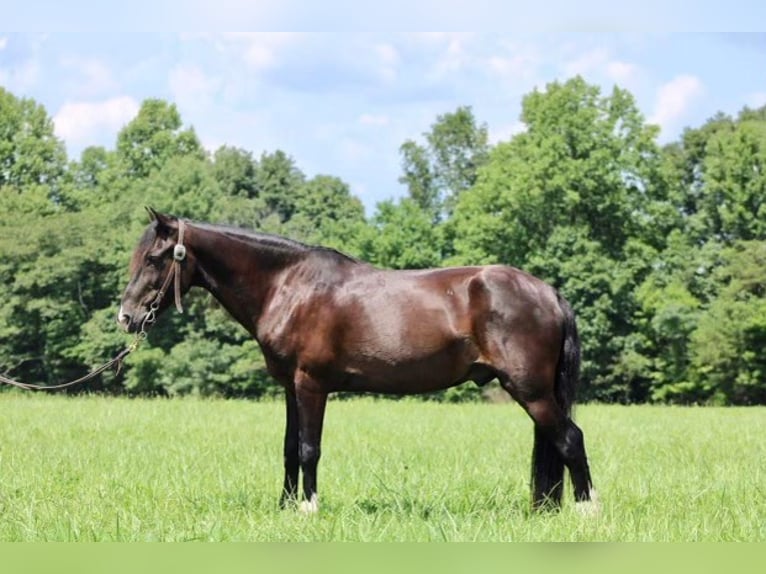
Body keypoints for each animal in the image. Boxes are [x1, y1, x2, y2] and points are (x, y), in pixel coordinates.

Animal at [118, 209, 600, 516]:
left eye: (155, 258)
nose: (127, 317)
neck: (288, 286)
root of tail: (548, 292)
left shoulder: (311, 385)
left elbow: (309, 448)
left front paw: (309, 508)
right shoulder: (290, 388)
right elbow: (289, 448)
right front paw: (285, 507)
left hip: (531, 390)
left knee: (571, 438)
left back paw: (587, 510)